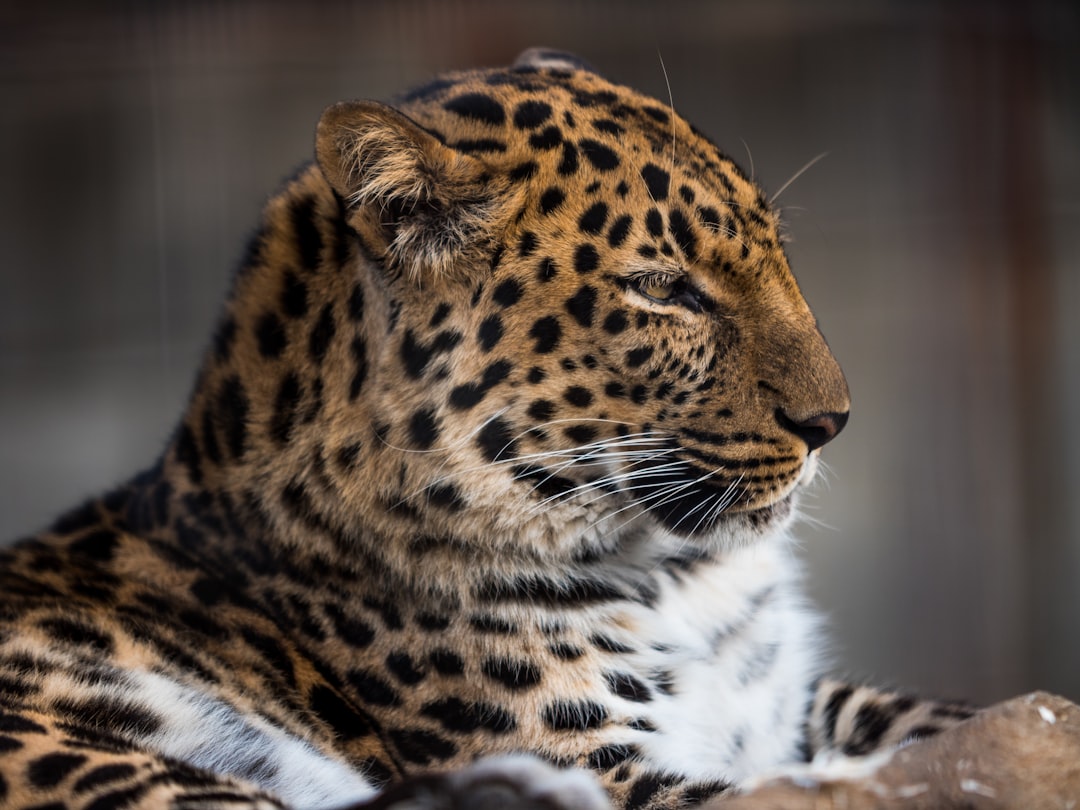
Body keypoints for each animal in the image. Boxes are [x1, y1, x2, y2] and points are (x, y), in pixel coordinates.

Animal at [2, 47, 980, 807]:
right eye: (664, 288)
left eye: (776, 248)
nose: (832, 422)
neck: (682, 581)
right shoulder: (610, 765)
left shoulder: (797, 705)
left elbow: (951, 725)